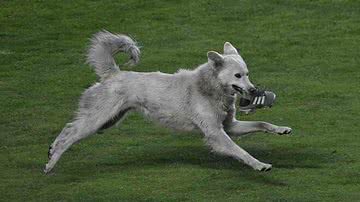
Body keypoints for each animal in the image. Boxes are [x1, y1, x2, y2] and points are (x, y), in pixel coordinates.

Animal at [45, 30, 292, 173]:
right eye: (238, 76)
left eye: (247, 74)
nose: (254, 90)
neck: (209, 87)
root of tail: (113, 74)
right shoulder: (216, 134)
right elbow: (241, 152)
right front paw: (259, 165)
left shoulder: (230, 126)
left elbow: (262, 124)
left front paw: (281, 129)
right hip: (97, 121)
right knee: (69, 133)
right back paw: (51, 162)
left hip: (107, 122)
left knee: (69, 128)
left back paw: (50, 152)